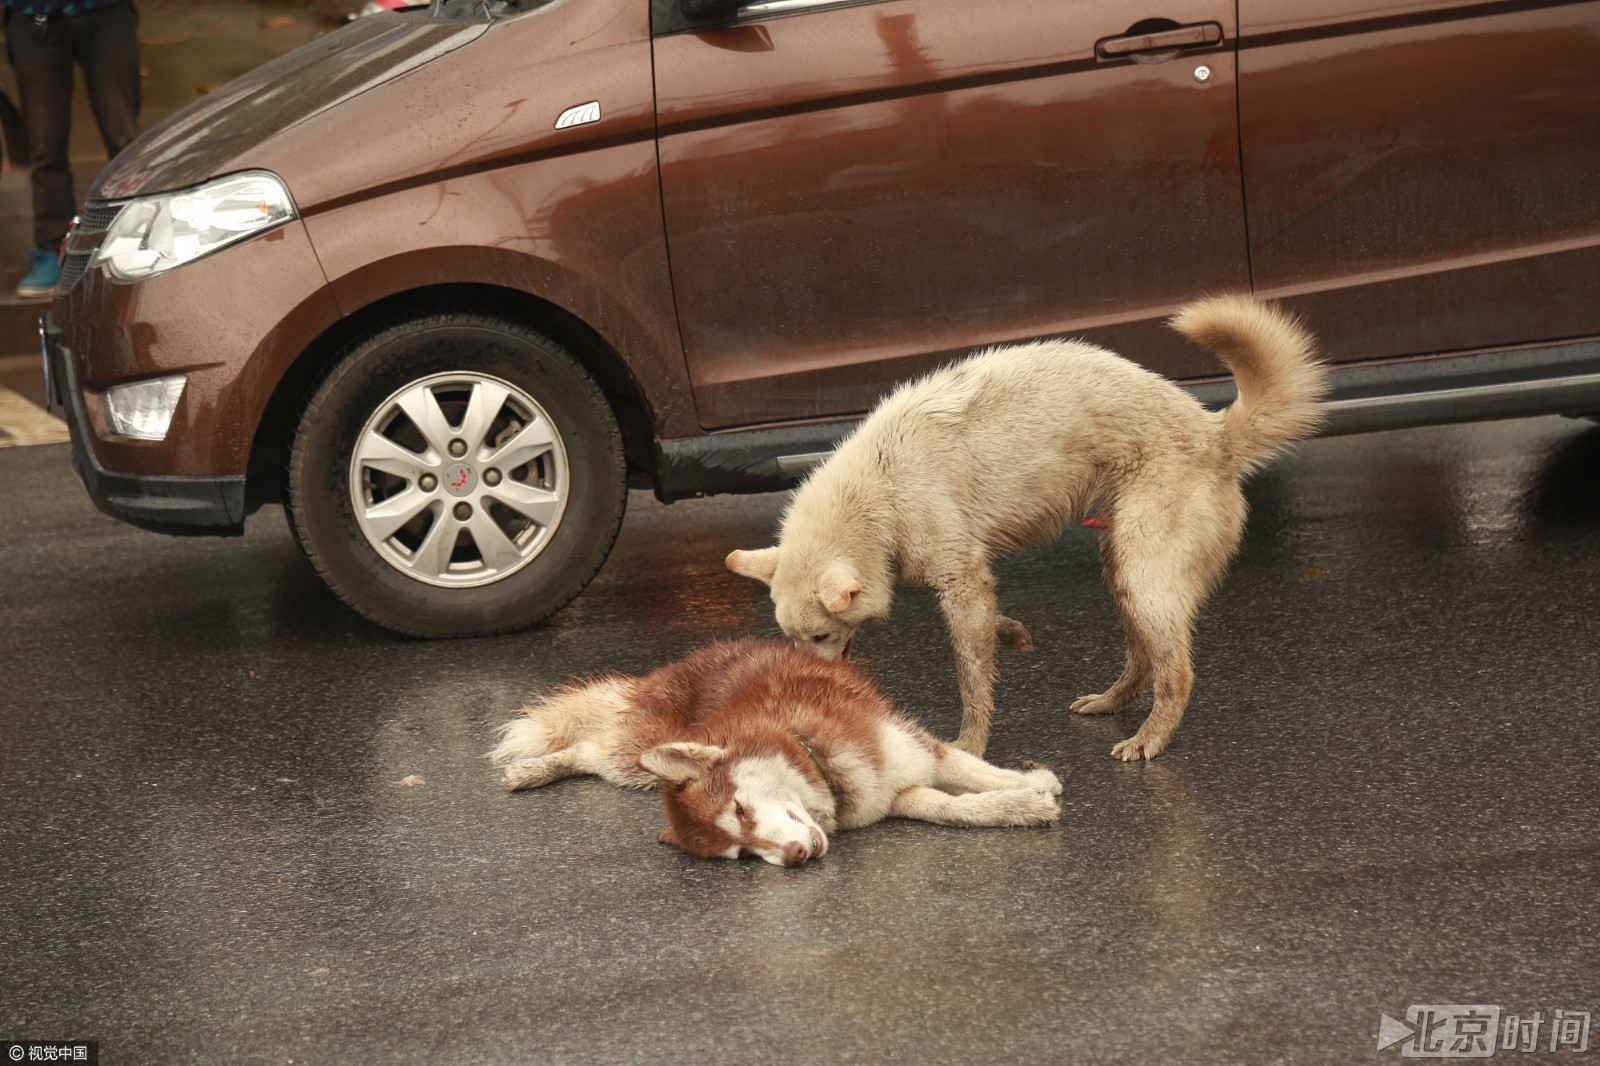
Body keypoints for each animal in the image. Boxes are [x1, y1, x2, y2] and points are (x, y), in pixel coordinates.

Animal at [729, 294, 1324, 758]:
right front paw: (1012, 634)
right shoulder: (971, 584)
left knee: (1176, 673)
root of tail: (1214, 432)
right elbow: (992, 632)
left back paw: (1149, 739)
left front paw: (970, 745)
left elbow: (972, 680)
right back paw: (1110, 702)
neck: (880, 490)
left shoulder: (961, 580)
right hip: (1121, 569)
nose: (812, 692)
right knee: (1143, 661)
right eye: (793, 640)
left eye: (821, 636)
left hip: (1142, 574)